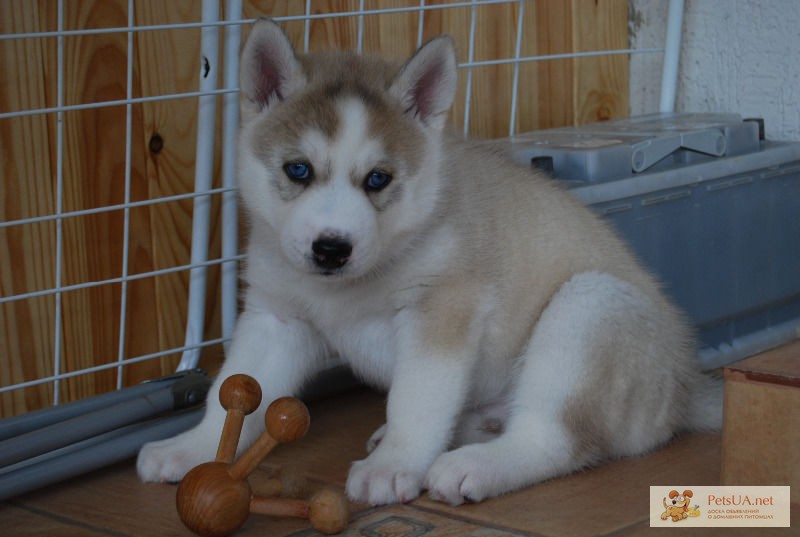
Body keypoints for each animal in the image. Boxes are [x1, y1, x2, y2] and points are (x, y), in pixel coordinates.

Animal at [139, 19, 724, 506]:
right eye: (298, 169)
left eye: (378, 179)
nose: (331, 248)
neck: (355, 282)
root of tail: (686, 389)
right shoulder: (275, 319)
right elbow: (233, 393)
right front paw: (190, 450)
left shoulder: (440, 314)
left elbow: (414, 401)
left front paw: (393, 466)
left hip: (588, 306)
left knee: (551, 438)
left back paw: (476, 465)